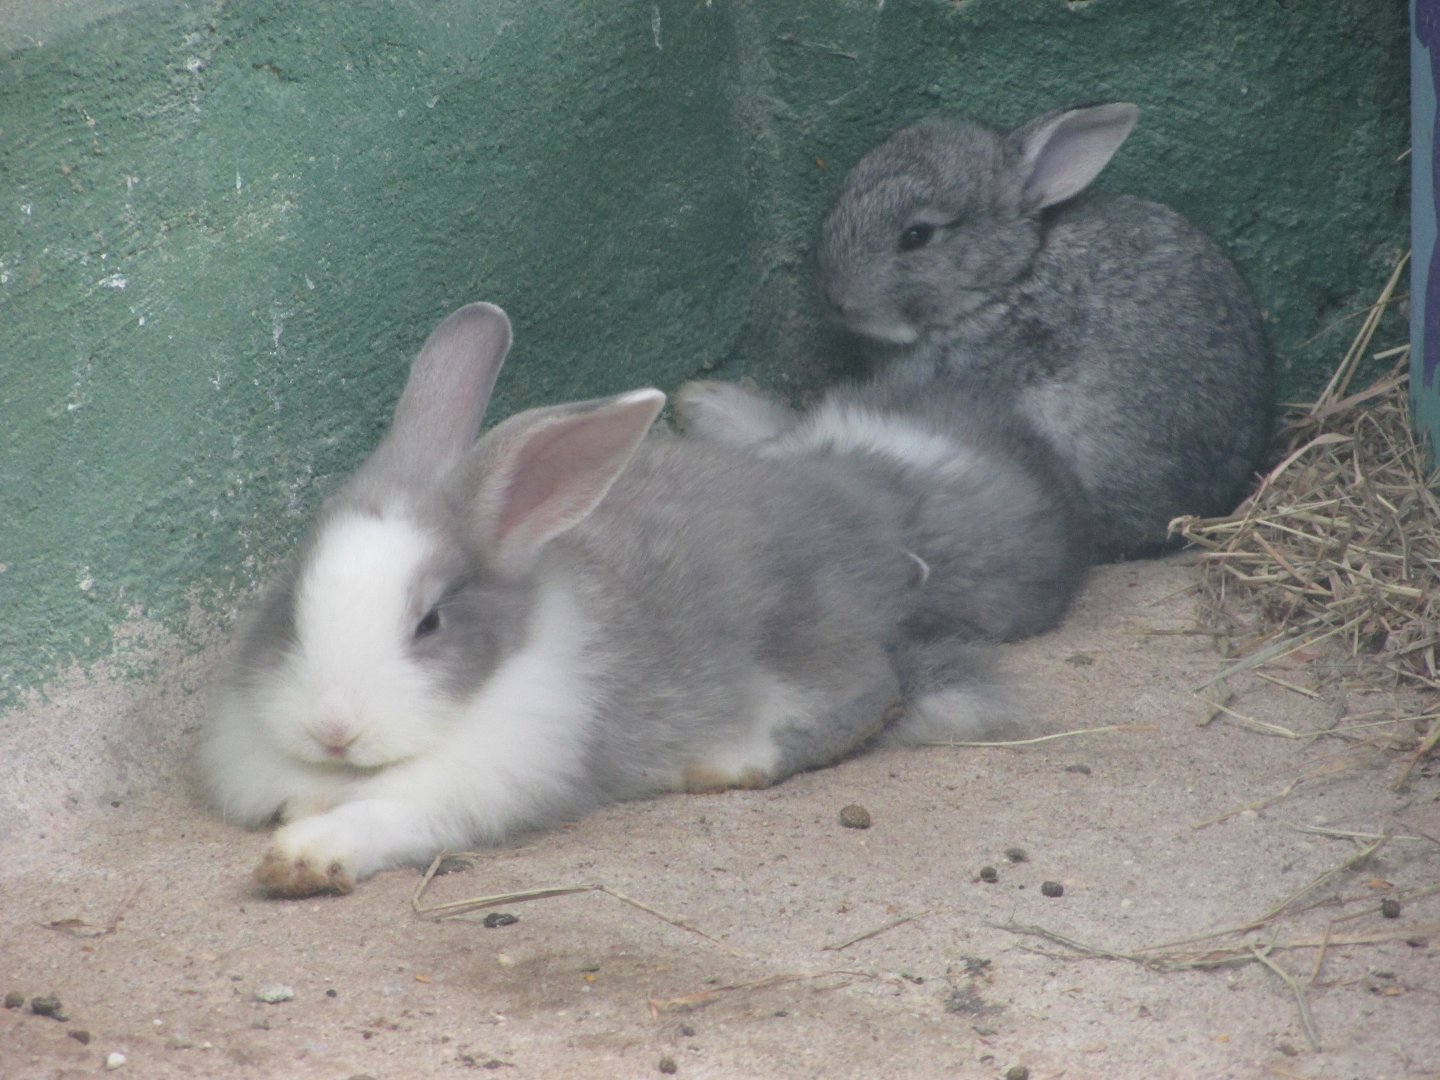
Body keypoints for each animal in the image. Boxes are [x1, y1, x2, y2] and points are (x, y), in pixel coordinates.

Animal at [200, 302, 1009, 897]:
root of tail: (873, 552)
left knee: (871, 694)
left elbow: (385, 819)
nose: (333, 728)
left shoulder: (469, 792)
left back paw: (727, 763)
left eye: (429, 622)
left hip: (805, 641)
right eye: (289, 605)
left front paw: (303, 857)